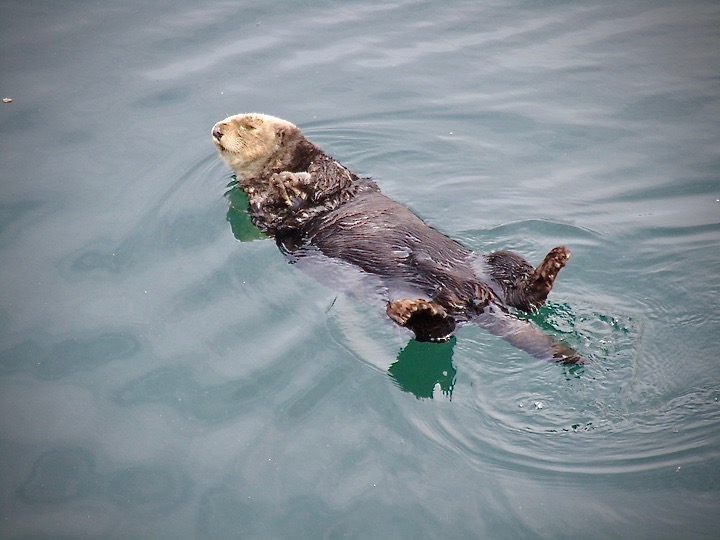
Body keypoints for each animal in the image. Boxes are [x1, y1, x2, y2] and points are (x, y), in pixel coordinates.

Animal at [212, 113, 580, 363]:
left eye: (249, 126)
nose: (217, 130)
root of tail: (478, 302)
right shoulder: (261, 209)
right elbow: (270, 213)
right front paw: (282, 188)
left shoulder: (330, 169)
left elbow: (323, 177)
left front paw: (290, 181)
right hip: (403, 301)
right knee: (438, 331)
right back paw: (420, 312)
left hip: (495, 264)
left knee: (525, 293)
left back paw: (552, 263)